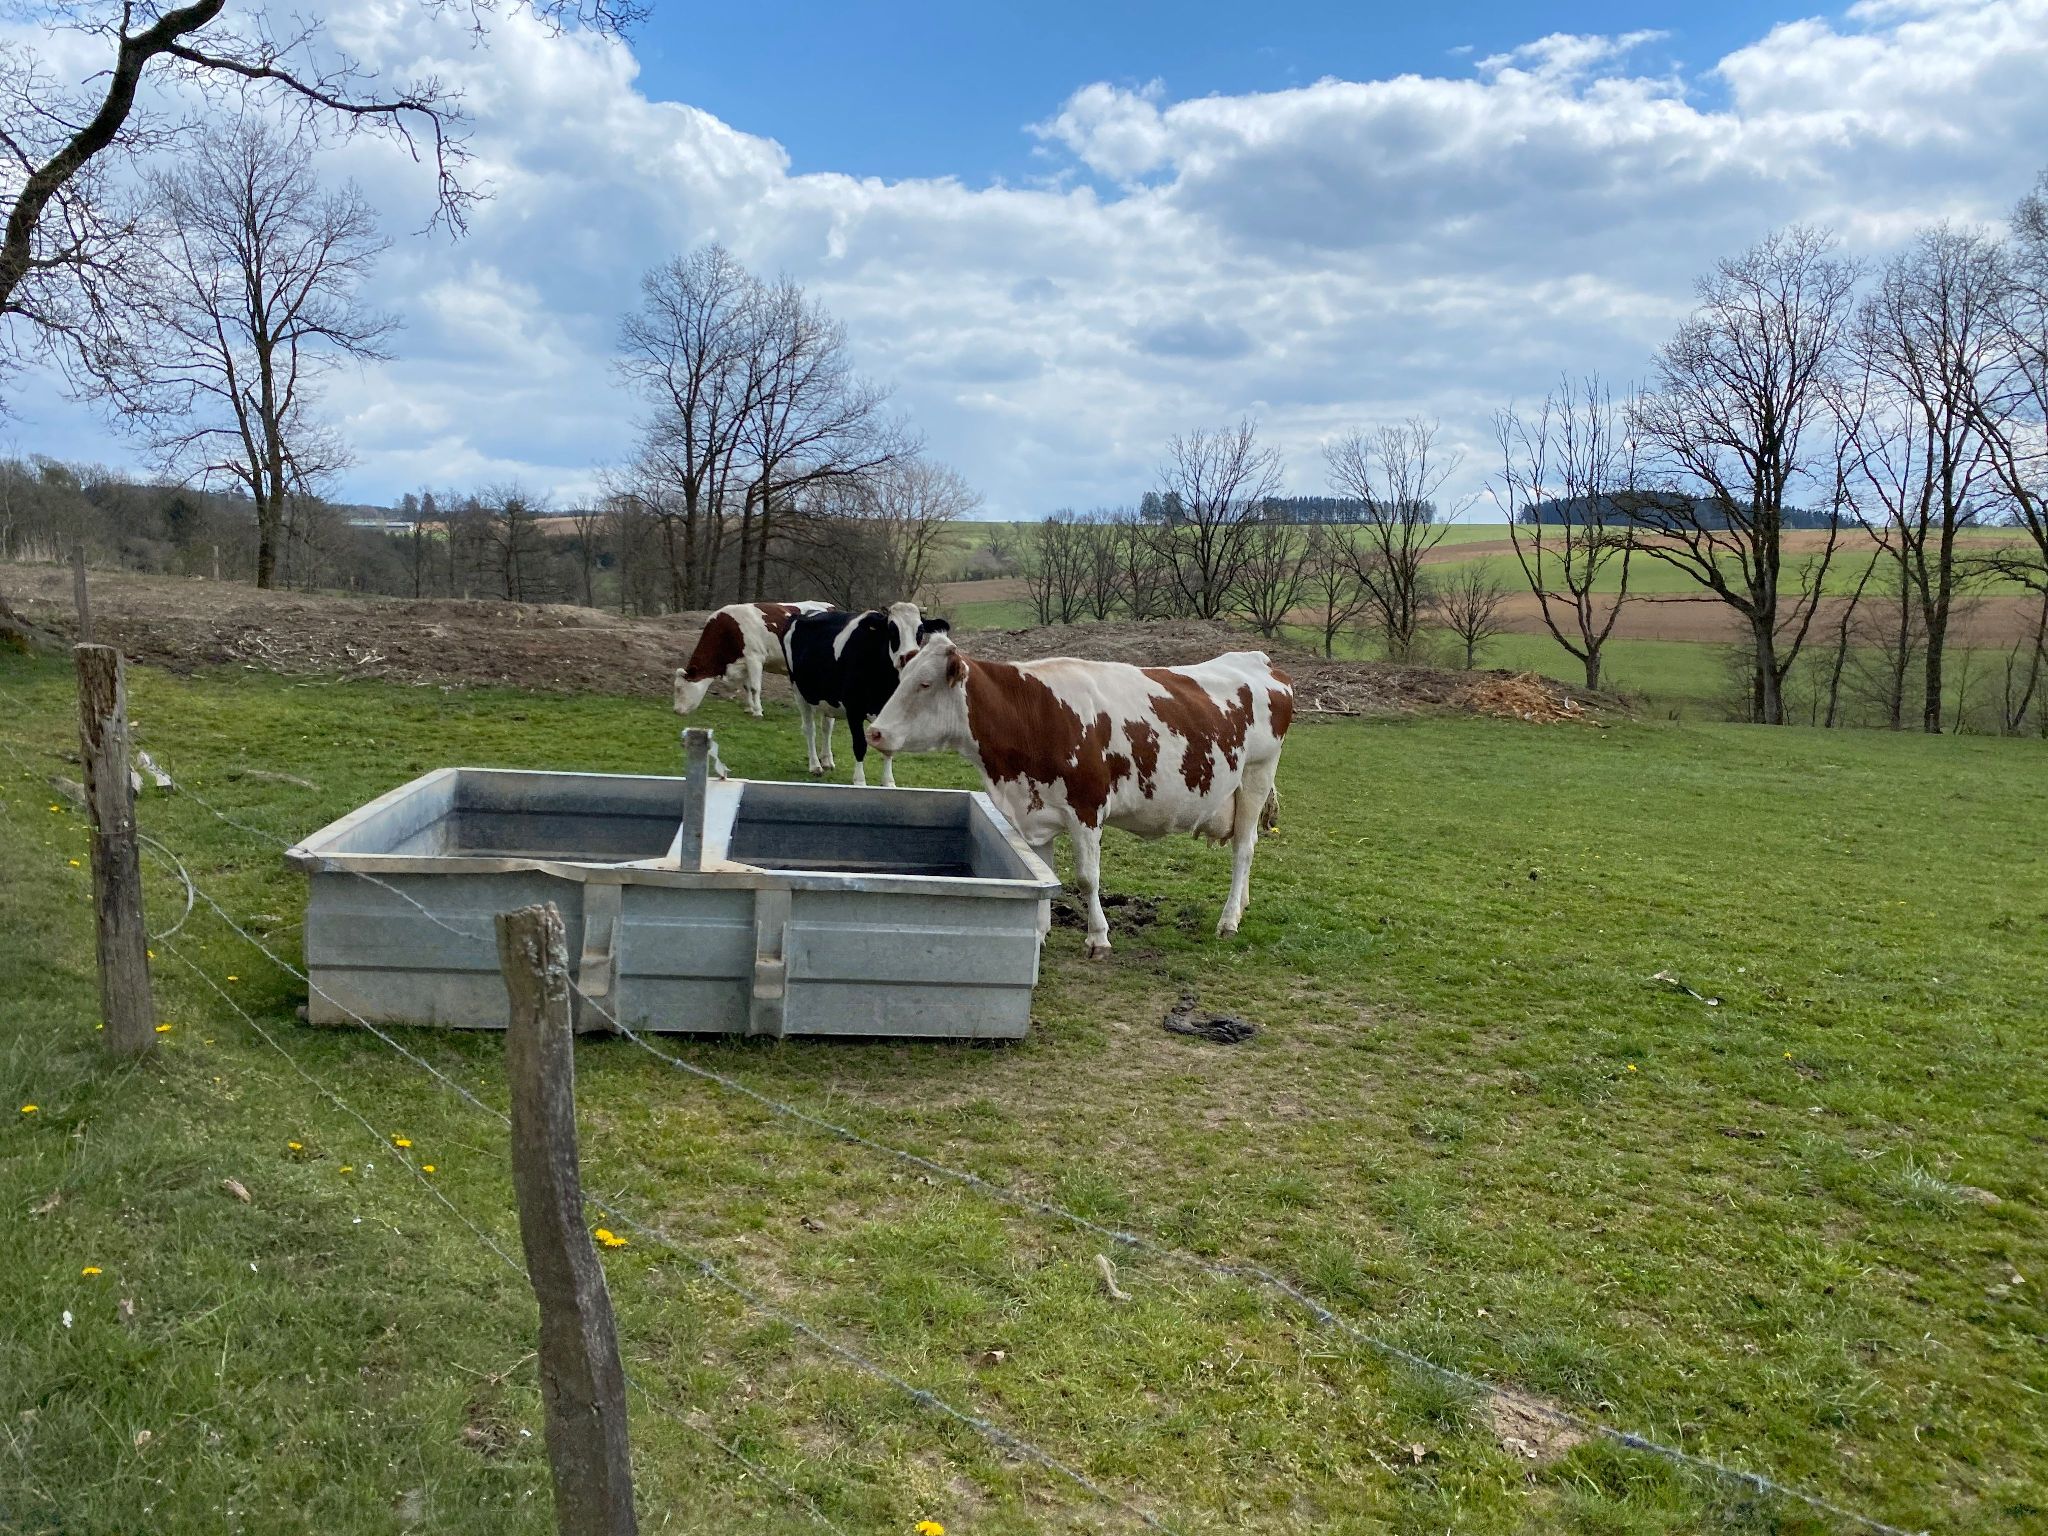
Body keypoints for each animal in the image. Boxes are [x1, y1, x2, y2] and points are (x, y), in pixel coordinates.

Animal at [673, 600, 834, 718]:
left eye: (679, 688)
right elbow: (747, 687)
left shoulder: (755, 658)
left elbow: (756, 687)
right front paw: (749, 708)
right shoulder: (744, 663)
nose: (676, 711)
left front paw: (758, 712)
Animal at [787, 603, 948, 787]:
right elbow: (860, 745)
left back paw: (827, 761)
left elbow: (888, 747)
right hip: (799, 691)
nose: (908, 657)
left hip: (828, 698)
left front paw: (888, 782)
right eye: (892, 630)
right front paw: (859, 781)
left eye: (920, 631)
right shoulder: (853, 709)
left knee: (826, 727)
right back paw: (815, 765)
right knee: (809, 729)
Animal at [867, 634, 1292, 956]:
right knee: (1245, 843)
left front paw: (1098, 938)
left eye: (925, 684)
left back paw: (1228, 920)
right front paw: (1038, 934)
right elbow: (1041, 875)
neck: (1034, 715)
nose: (875, 732)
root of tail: (1258, 660)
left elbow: (1088, 878)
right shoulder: (1033, 809)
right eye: (901, 677)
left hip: (1257, 773)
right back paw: (1242, 906)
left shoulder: (1087, 806)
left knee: (1243, 849)